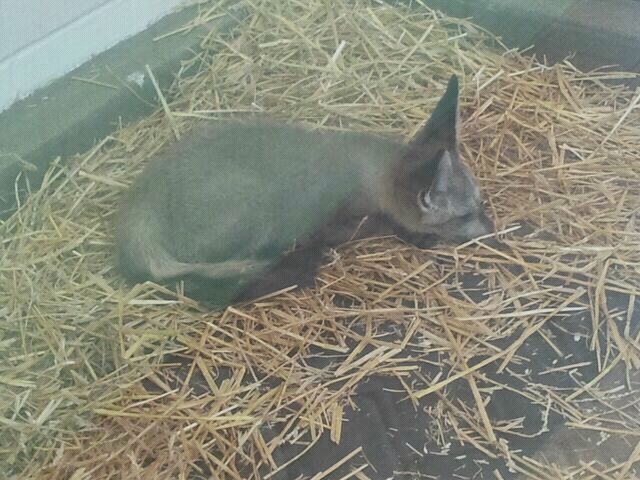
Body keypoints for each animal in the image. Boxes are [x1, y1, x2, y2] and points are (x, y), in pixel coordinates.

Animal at [114, 75, 494, 305]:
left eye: (481, 202)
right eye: (466, 214)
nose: (492, 228)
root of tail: (140, 202)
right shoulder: (332, 225)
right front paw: (419, 235)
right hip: (258, 208)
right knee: (205, 284)